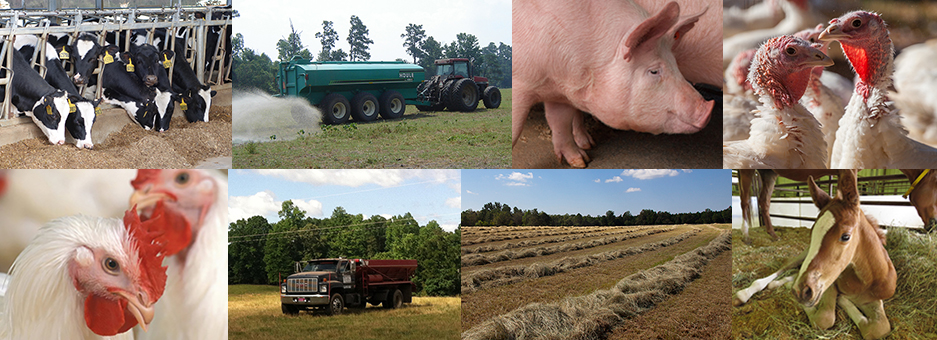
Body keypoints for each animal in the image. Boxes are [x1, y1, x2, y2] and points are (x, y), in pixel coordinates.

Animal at [512, 0, 716, 167]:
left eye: (675, 64)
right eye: (654, 71)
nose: (708, 108)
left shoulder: (561, 90)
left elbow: (560, 122)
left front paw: (582, 161)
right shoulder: (522, 84)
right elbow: (516, 126)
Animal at [792, 170, 896, 340]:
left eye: (845, 236)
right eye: (812, 232)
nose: (801, 291)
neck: (865, 279)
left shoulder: (875, 299)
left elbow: (880, 329)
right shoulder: (829, 283)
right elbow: (824, 319)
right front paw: (842, 300)